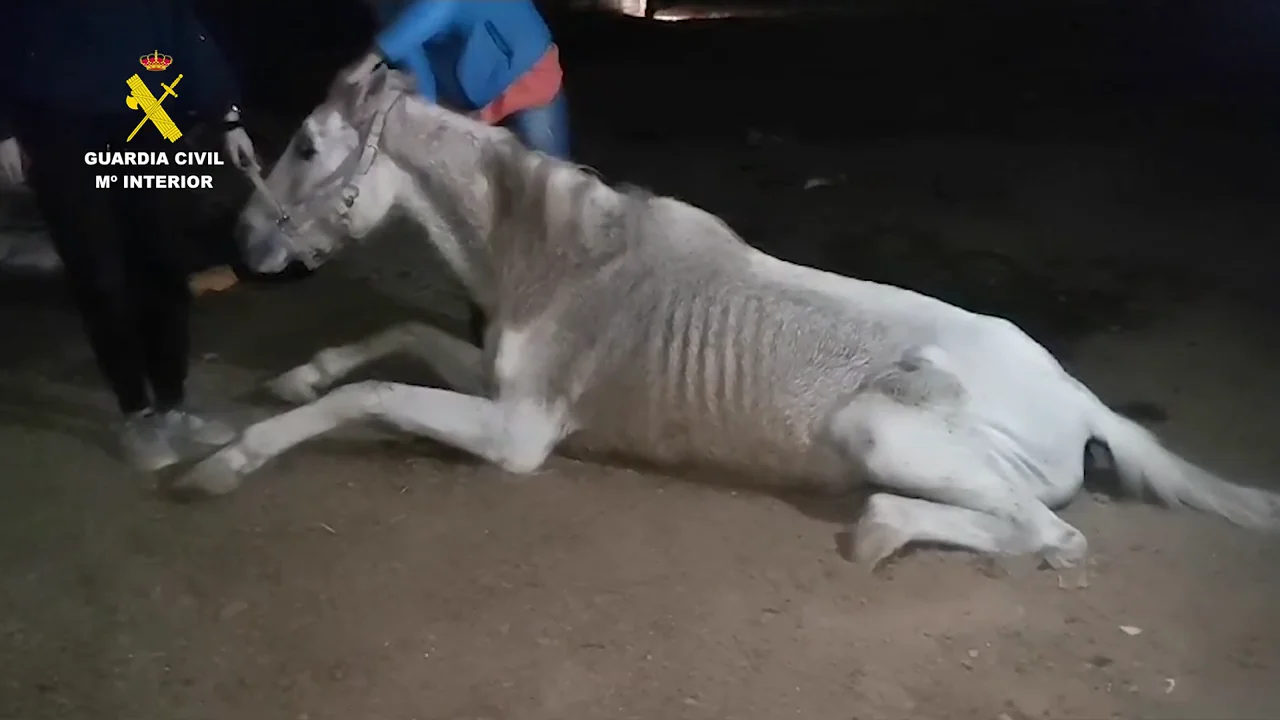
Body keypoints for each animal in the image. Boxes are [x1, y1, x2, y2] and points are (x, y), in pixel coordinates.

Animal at [179, 60, 1280, 573]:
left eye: (308, 146)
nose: (246, 245)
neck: (563, 257)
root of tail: (1083, 403)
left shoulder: (517, 434)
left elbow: (368, 393)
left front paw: (224, 463)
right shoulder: (495, 382)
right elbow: (394, 340)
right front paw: (293, 375)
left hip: (883, 431)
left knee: (1048, 537)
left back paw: (879, 532)